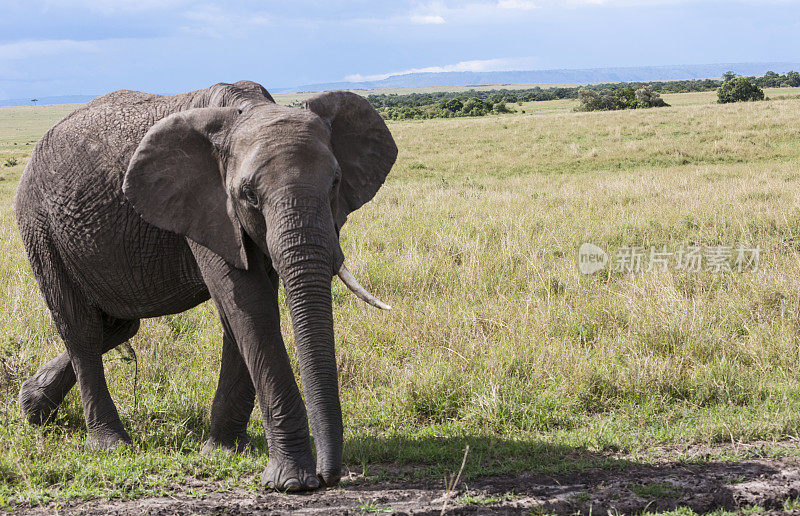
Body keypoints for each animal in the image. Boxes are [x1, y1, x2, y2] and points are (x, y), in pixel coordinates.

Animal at [14, 80, 398, 492]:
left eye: (336, 183)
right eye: (249, 195)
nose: (329, 478)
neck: (248, 108)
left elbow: (245, 312)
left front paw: (225, 450)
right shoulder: (207, 205)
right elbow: (250, 306)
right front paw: (289, 482)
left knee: (117, 324)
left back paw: (31, 406)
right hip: (40, 227)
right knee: (80, 328)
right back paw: (108, 445)